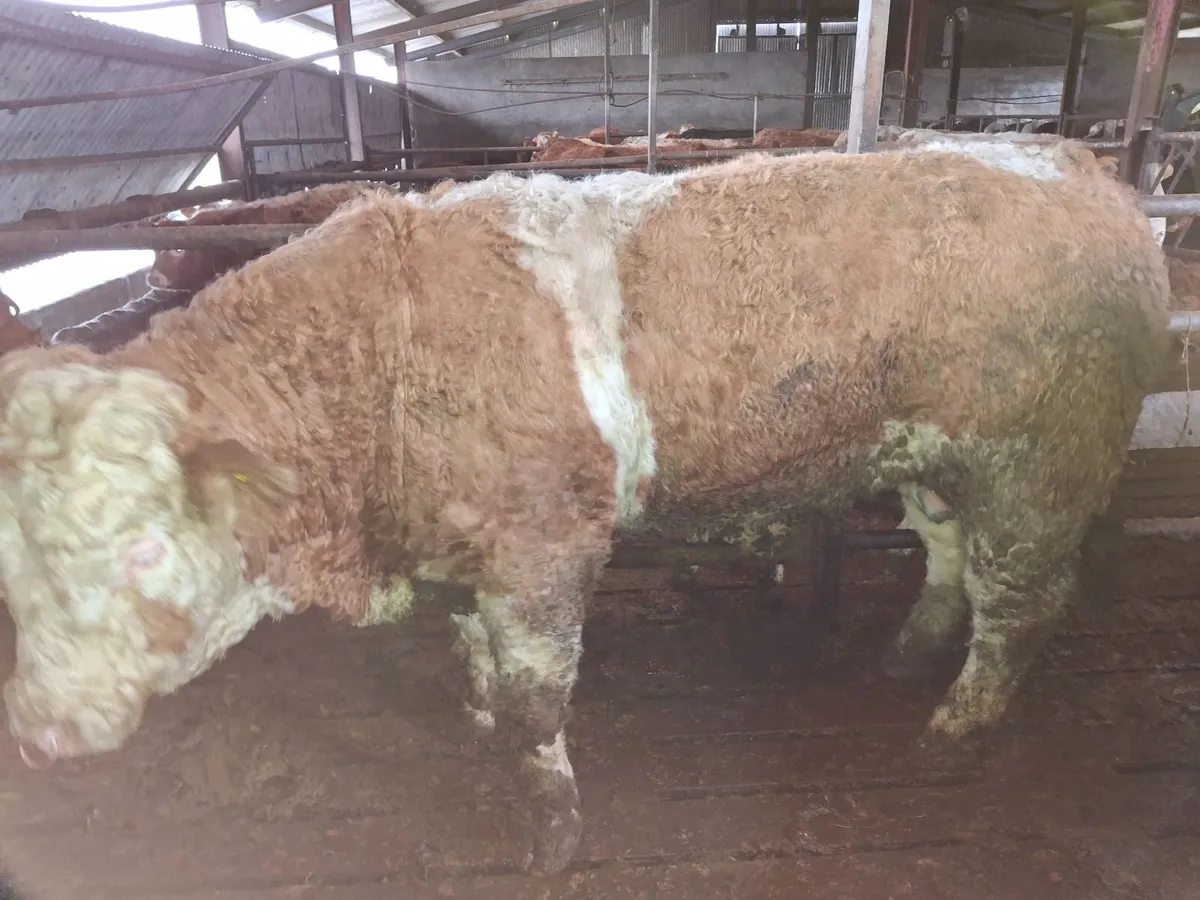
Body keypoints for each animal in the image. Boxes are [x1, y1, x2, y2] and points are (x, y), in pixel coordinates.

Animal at [0, 134, 1170, 876]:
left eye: (142, 551)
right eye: (16, 572)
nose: (37, 733)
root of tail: (1077, 168)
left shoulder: (545, 545)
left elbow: (536, 701)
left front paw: (548, 830)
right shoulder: (472, 553)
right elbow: (478, 661)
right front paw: (476, 722)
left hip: (1040, 461)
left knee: (1018, 602)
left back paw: (954, 729)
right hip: (933, 457)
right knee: (945, 554)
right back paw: (905, 658)